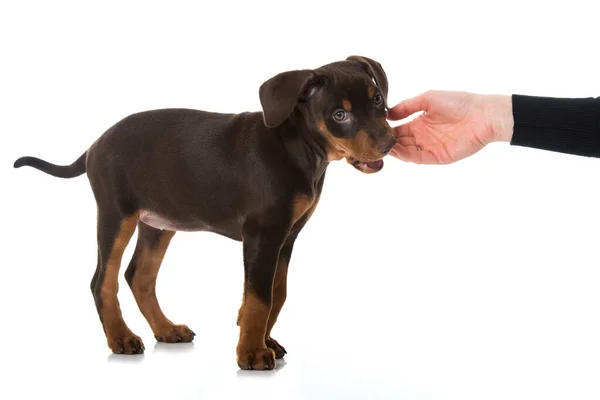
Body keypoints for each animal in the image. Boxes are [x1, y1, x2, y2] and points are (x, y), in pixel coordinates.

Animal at [12, 54, 394, 370]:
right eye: (340, 115)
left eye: (377, 99)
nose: (389, 142)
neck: (298, 147)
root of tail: (95, 144)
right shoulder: (263, 235)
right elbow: (259, 298)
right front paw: (251, 353)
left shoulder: (285, 238)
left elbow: (275, 294)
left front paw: (263, 341)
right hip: (115, 215)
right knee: (102, 281)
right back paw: (121, 337)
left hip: (158, 223)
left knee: (138, 276)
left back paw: (165, 329)